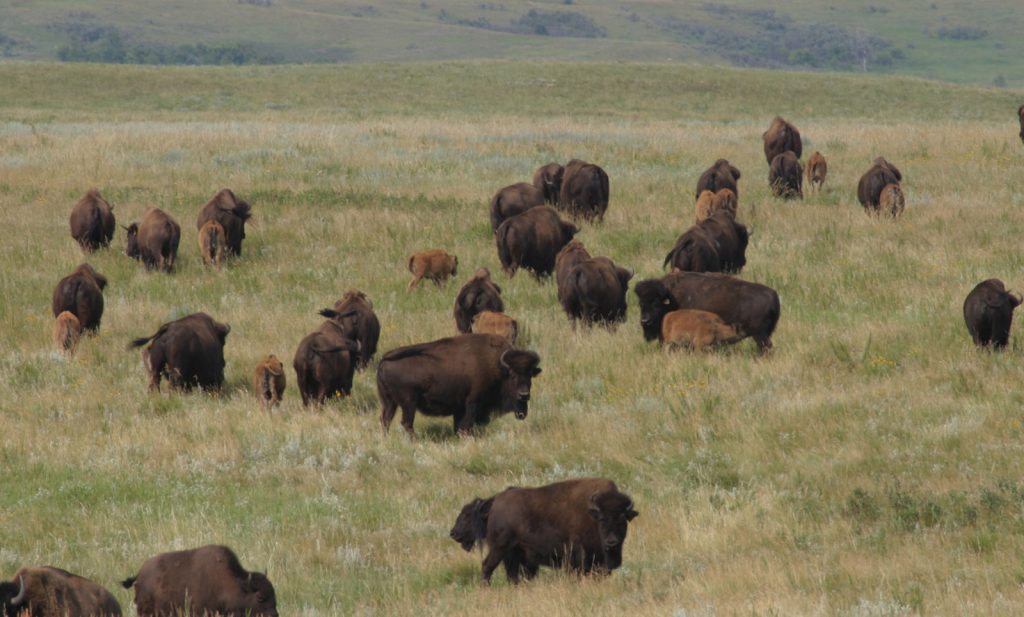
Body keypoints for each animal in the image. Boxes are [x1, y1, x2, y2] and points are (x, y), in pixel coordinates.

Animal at [377, 334, 541, 436]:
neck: (498, 367)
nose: (524, 395)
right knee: (406, 423)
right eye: (512, 375)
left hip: (389, 402)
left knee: (386, 420)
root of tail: (384, 360)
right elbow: (465, 426)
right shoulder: (473, 403)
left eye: (530, 375)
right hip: (408, 403)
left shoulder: (460, 408)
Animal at [450, 478, 638, 583]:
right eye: (602, 520)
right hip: (499, 548)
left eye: (623, 521)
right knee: (487, 566)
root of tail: (496, 502)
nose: (612, 542)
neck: (591, 514)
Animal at [635, 272, 780, 353]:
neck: (671, 297)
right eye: (641, 303)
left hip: (760, 335)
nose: (645, 321)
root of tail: (773, 295)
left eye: (656, 303)